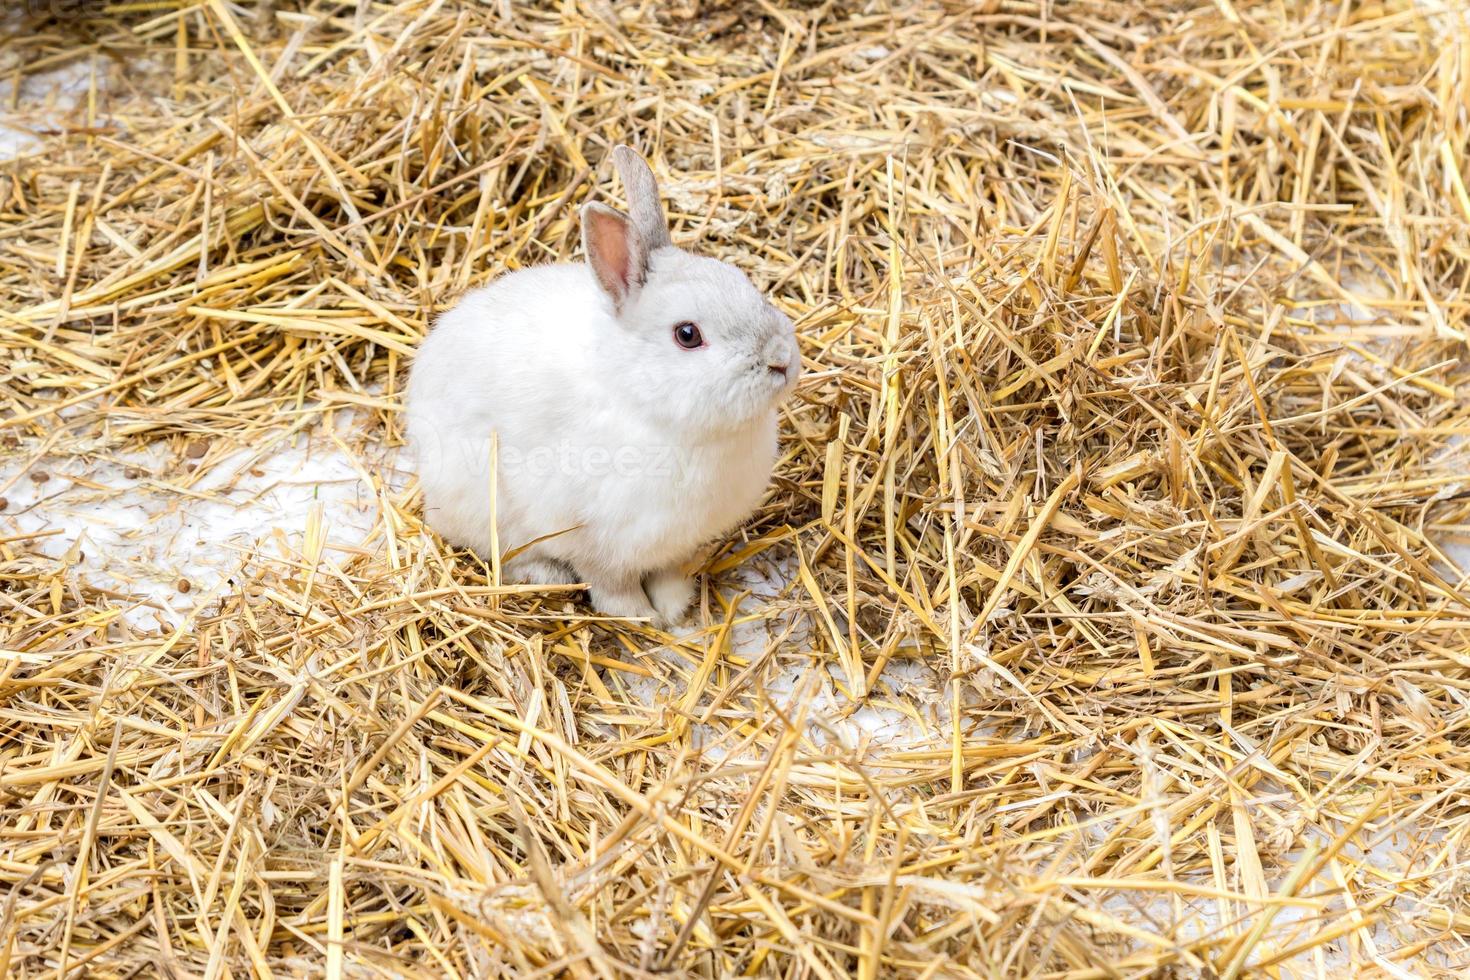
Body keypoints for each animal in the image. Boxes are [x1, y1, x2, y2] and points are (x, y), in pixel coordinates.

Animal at [402, 144, 799, 625]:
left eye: (745, 283)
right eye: (687, 335)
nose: (781, 359)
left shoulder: (674, 544)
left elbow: (667, 573)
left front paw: (674, 608)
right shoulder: (592, 538)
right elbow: (610, 584)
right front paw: (642, 616)